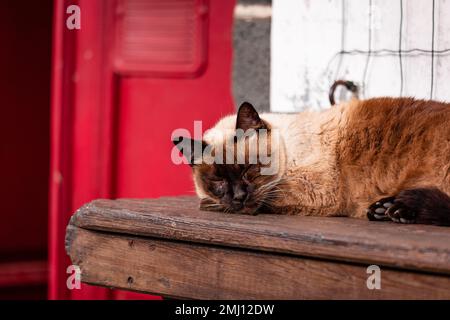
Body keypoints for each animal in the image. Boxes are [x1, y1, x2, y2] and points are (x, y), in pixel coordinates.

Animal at [172, 99, 450, 226]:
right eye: (219, 181)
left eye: (249, 168)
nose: (239, 197)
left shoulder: (314, 191)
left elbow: (266, 199)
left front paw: (209, 205)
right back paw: (383, 210)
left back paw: (396, 208)